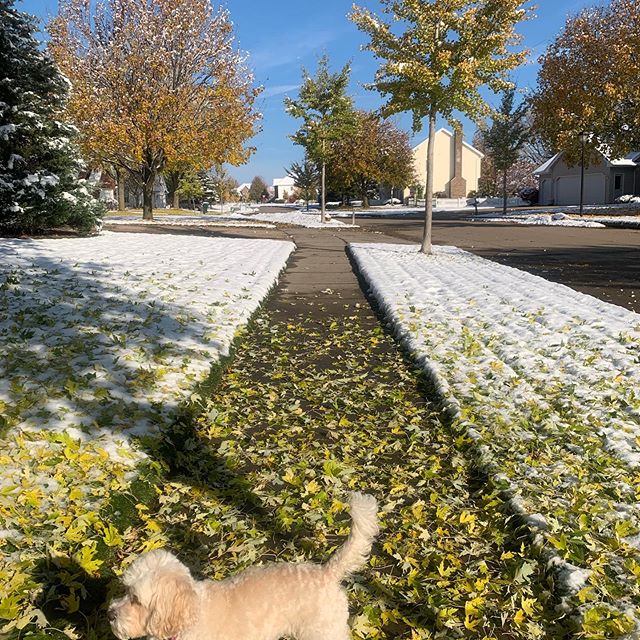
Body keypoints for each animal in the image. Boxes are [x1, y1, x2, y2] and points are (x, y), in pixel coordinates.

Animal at [109, 496, 380, 640]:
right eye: (125, 589)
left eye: (136, 599)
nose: (110, 614)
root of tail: (326, 572)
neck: (191, 614)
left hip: (322, 633)